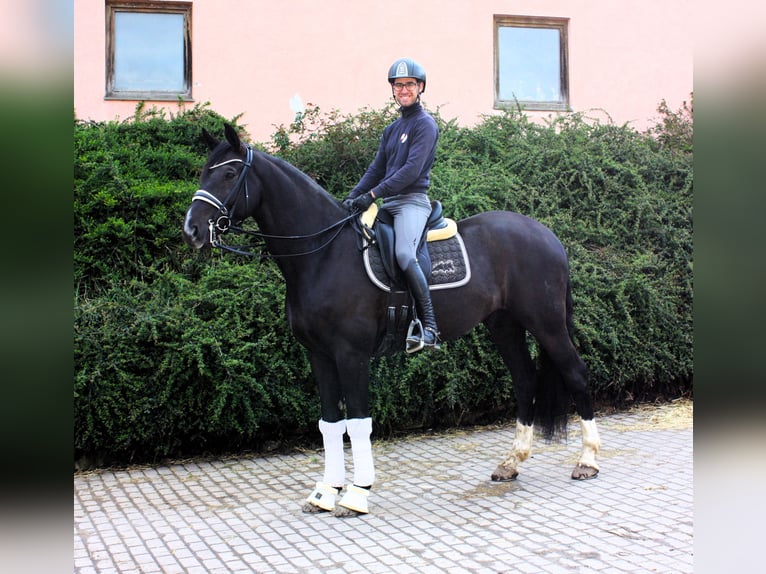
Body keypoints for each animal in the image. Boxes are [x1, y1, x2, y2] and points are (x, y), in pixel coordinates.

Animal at [183, 124, 604, 520]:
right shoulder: (320, 356)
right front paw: (325, 493)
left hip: (546, 322)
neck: (324, 255)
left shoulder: (350, 355)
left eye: (229, 173)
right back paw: (511, 463)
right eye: (204, 171)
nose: (192, 229)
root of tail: (545, 233)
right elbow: (330, 423)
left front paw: (355, 495)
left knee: (576, 373)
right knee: (524, 379)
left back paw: (587, 460)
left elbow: (357, 422)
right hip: (504, 325)